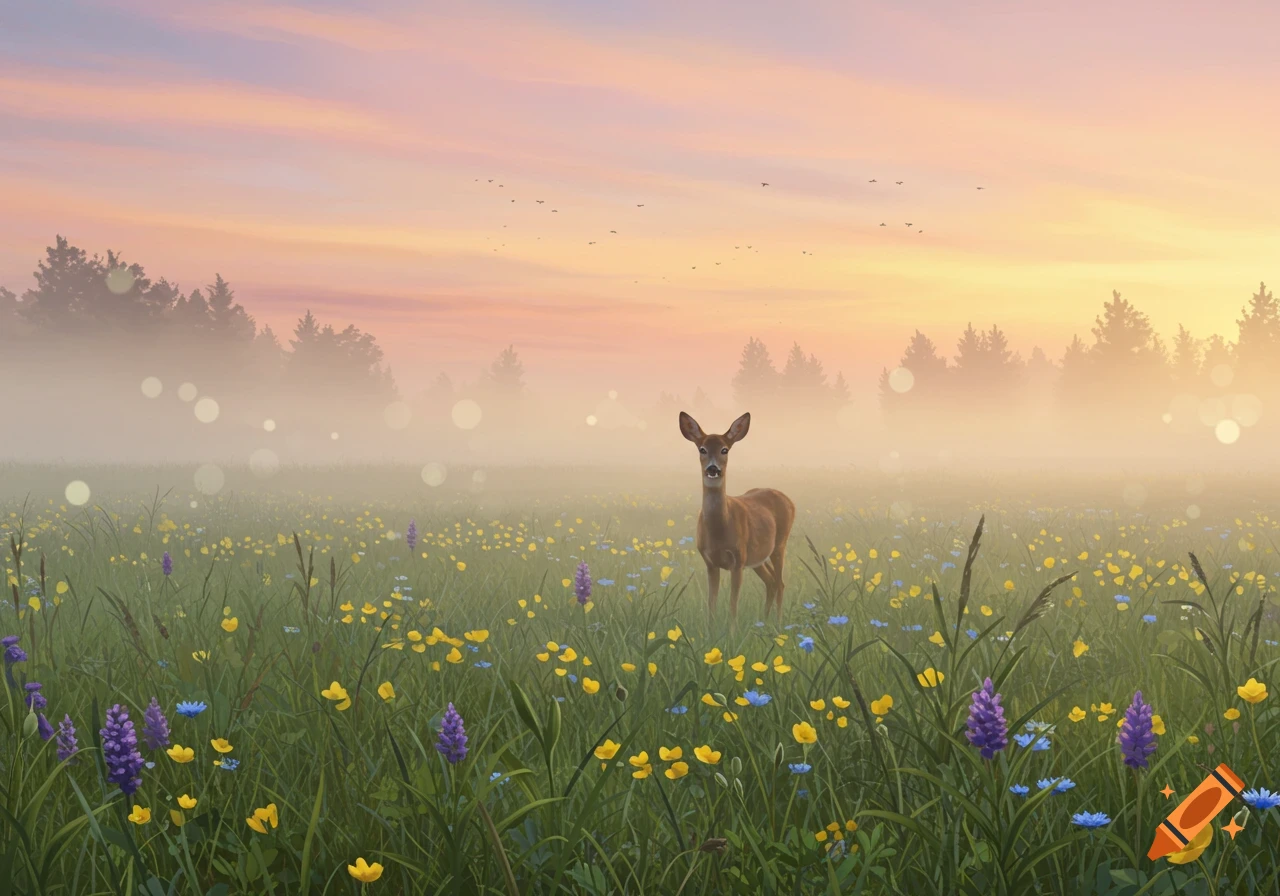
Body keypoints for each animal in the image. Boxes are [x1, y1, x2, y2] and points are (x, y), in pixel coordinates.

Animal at [679, 411, 796, 626]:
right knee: (771, 581)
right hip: (757, 557)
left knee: (780, 582)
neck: (719, 530)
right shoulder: (710, 563)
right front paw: (710, 631)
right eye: (702, 449)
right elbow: (711, 605)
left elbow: (733, 606)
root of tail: (789, 500)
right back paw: (763, 622)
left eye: (725, 449)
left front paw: (732, 633)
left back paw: (777, 624)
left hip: (779, 544)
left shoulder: (738, 560)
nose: (713, 469)